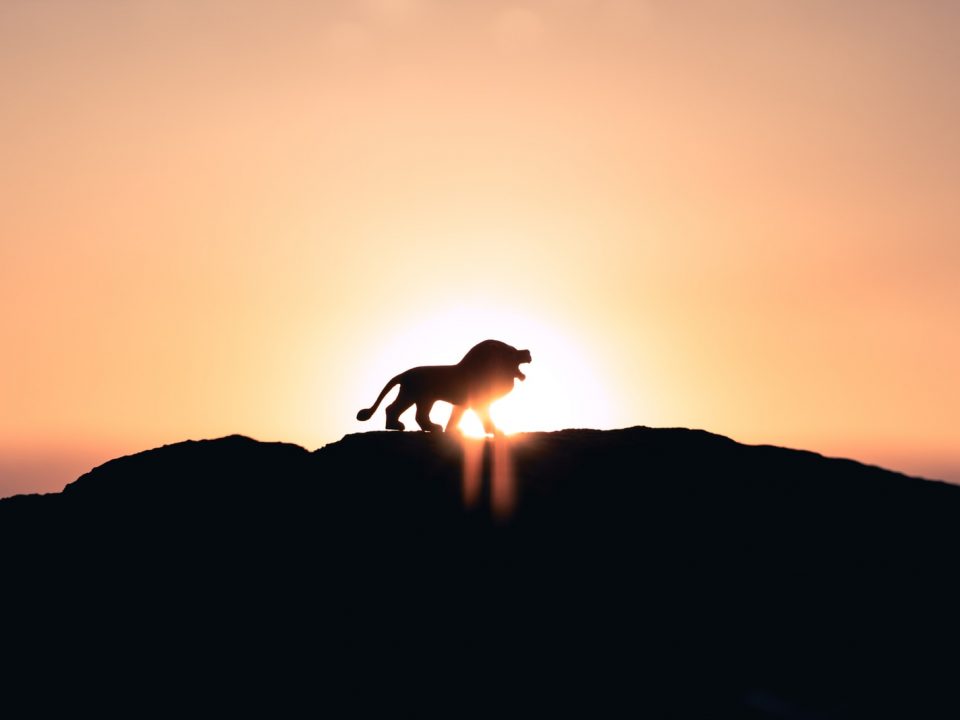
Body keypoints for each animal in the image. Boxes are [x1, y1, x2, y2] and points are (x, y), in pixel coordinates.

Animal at [356, 338, 532, 434]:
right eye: (512, 351)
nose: (528, 352)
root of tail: (403, 374)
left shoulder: (462, 404)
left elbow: (455, 417)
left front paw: (453, 431)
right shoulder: (478, 403)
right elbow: (486, 417)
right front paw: (495, 431)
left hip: (412, 396)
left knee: (396, 409)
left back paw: (395, 426)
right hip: (422, 396)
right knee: (416, 414)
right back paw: (429, 428)